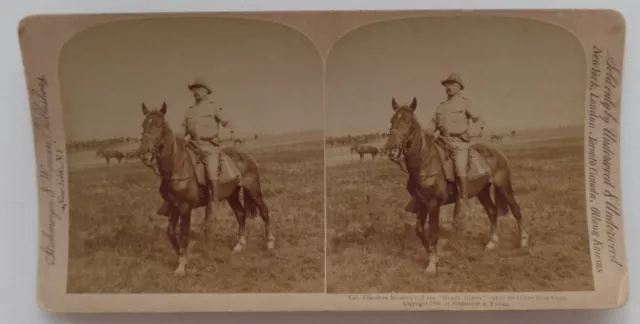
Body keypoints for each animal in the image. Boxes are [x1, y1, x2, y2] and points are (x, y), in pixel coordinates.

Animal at [130, 102, 276, 278]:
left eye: (160, 125)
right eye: (143, 125)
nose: (142, 152)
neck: (177, 168)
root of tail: (247, 156)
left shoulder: (186, 207)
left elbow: (184, 234)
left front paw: (181, 266)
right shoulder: (172, 206)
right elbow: (171, 233)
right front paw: (180, 256)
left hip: (253, 190)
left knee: (264, 212)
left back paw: (269, 243)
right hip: (232, 195)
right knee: (241, 214)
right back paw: (239, 245)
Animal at [382, 97, 528, 274]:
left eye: (407, 121)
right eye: (392, 120)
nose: (390, 149)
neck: (426, 162)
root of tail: (498, 153)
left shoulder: (433, 204)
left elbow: (433, 232)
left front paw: (432, 265)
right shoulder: (422, 203)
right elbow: (419, 230)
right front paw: (432, 256)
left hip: (504, 187)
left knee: (515, 209)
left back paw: (523, 241)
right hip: (483, 191)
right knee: (492, 212)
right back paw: (491, 243)